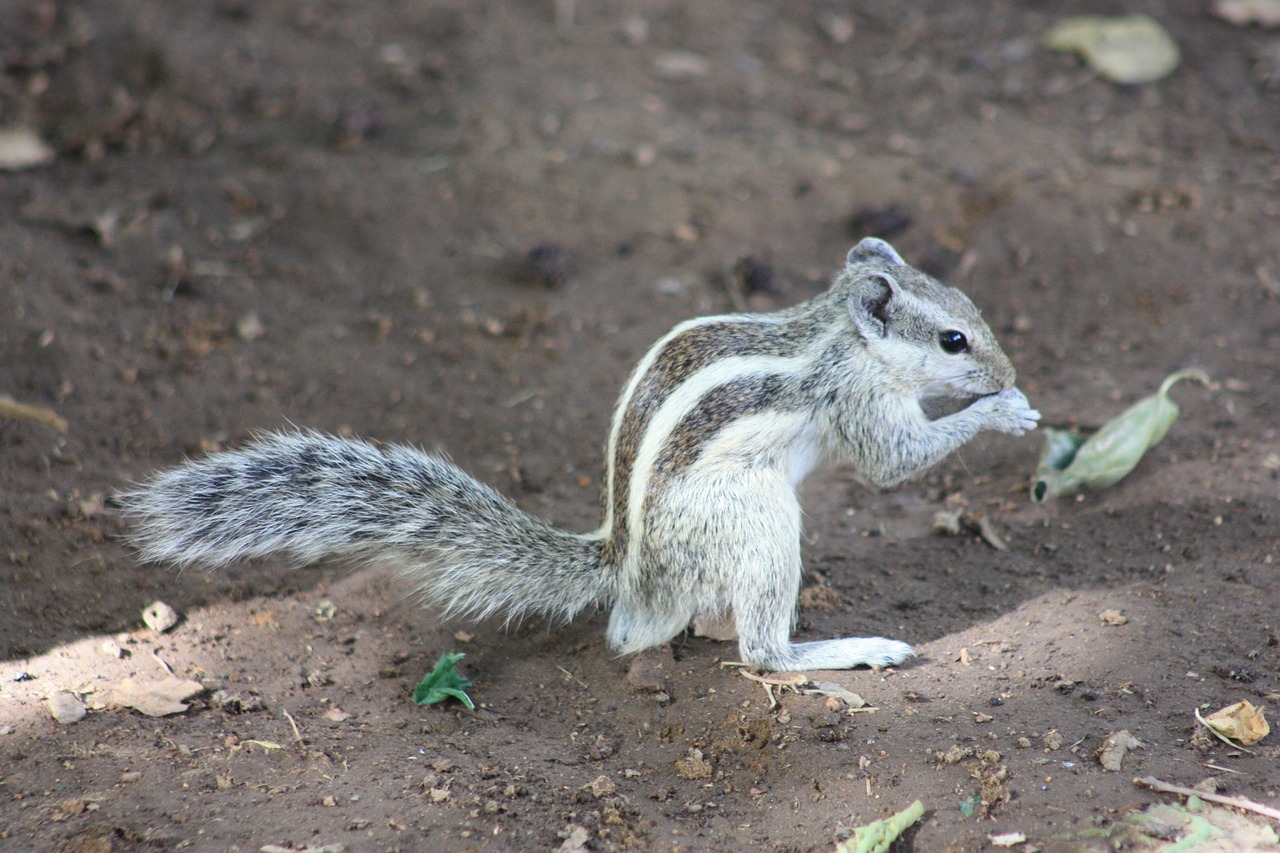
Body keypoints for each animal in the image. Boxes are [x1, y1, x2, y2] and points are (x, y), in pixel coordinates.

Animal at [120, 236, 1039, 671]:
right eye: (954, 339)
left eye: (969, 306)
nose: (1006, 369)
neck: (836, 328)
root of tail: (628, 563)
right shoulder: (857, 401)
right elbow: (893, 463)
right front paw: (1002, 411)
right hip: (754, 517)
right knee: (759, 654)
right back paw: (844, 649)